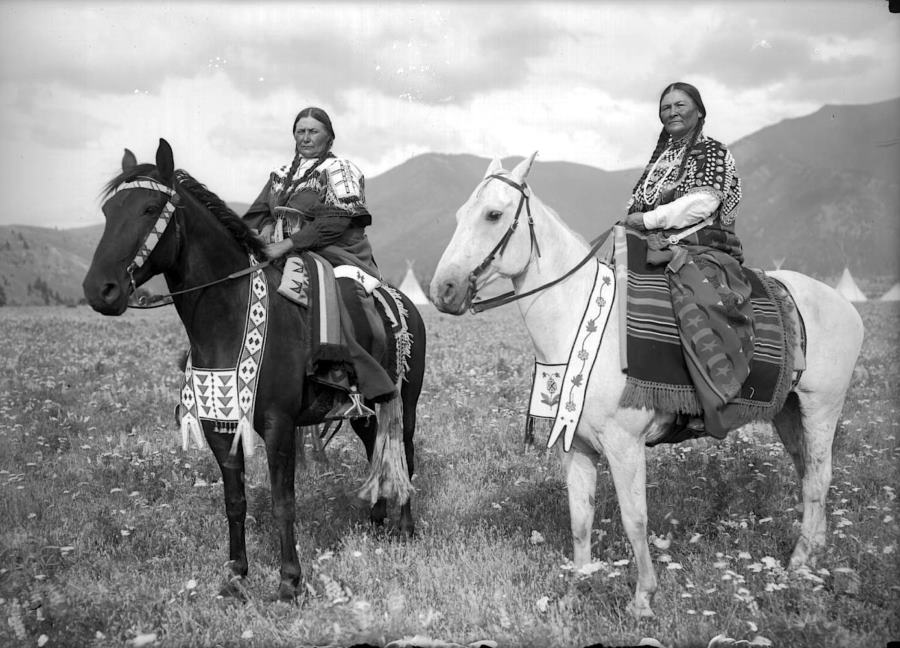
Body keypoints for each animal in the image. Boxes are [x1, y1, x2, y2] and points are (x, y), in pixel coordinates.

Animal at [81, 138, 426, 604]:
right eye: (108, 211)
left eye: (150, 208)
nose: (100, 289)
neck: (225, 318)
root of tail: (403, 303)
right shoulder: (219, 425)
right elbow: (235, 501)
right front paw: (236, 575)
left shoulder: (278, 424)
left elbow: (283, 500)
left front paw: (289, 581)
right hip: (363, 408)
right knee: (376, 446)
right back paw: (377, 519)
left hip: (404, 400)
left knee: (402, 450)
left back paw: (404, 526)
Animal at [428, 153, 864, 616]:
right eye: (461, 214)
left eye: (493, 214)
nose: (443, 290)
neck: (580, 322)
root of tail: (846, 307)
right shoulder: (575, 444)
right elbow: (579, 519)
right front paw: (576, 591)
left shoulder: (625, 445)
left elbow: (634, 519)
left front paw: (642, 598)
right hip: (787, 411)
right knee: (807, 472)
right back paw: (814, 553)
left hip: (821, 407)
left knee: (819, 477)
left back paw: (799, 563)